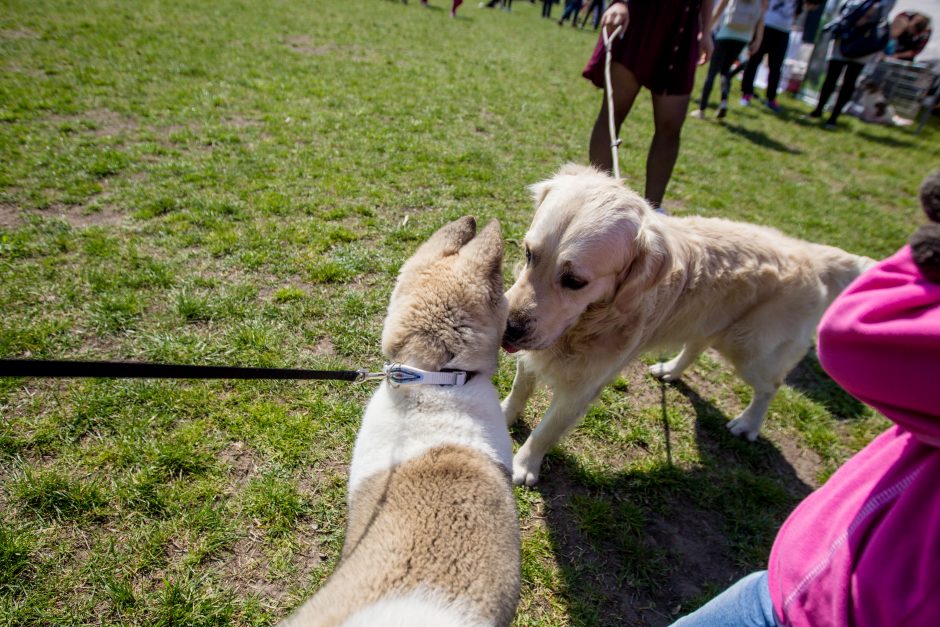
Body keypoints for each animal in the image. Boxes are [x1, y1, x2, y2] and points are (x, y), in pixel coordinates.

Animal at [500, 166, 872, 486]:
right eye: (529, 253)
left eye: (575, 281)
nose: (508, 328)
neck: (588, 323)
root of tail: (810, 253)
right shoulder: (534, 352)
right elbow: (519, 390)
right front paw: (502, 416)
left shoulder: (582, 387)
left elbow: (546, 430)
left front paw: (525, 465)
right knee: (697, 345)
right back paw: (670, 370)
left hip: (749, 349)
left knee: (770, 386)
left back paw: (748, 424)